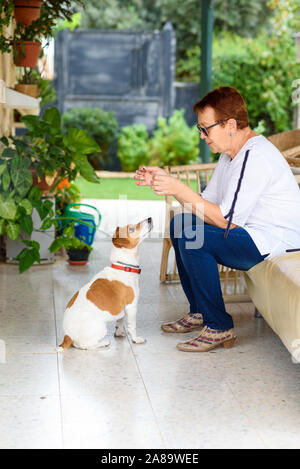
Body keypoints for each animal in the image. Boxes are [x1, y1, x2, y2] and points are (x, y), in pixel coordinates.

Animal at [56, 217, 154, 352]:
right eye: (131, 229)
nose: (149, 218)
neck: (123, 266)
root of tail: (67, 336)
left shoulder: (122, 308)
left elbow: (120, 321)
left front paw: (119, 333)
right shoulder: (131, 306)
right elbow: (132, 326)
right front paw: (136, 339)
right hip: (101, 327)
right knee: (84, 345)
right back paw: (103, 342)